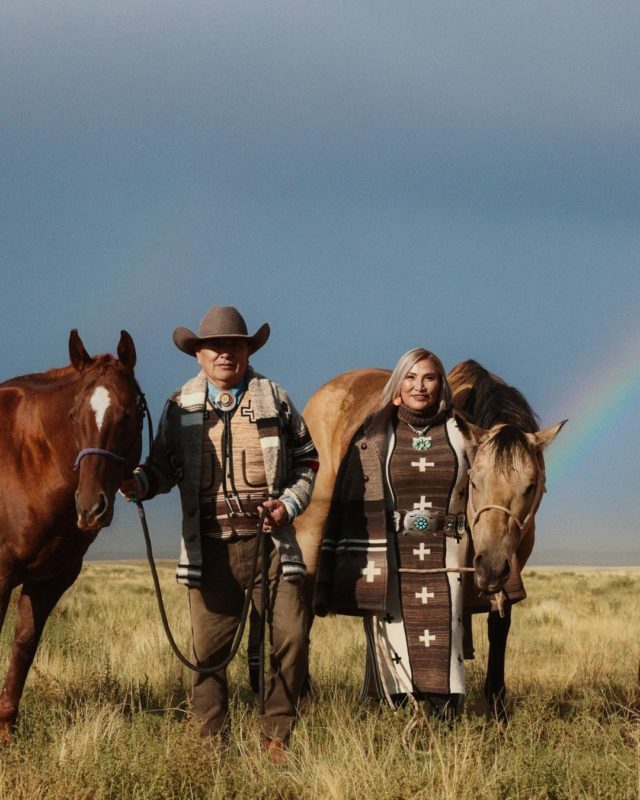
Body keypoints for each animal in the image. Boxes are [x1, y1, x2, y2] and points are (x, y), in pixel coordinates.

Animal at [0, 328, 141, 740]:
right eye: (74, 415)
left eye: (128, 415)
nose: (91, 507)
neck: (25, 460)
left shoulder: (50, 579)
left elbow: (24, 644)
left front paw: (5, 729)